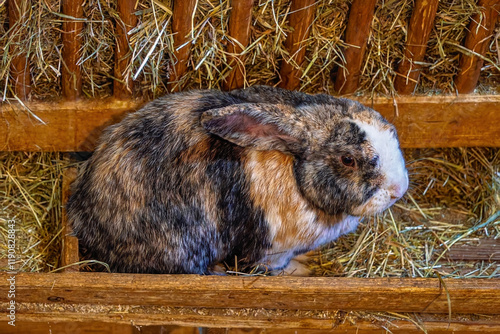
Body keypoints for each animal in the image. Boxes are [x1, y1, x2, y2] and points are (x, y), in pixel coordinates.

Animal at [66, 85, 408, 274]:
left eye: (390, 128)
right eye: (348, 160)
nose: (398, 189)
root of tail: (83, 219)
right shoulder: (270, 251)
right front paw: (300, 271)